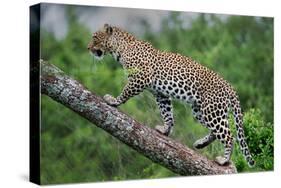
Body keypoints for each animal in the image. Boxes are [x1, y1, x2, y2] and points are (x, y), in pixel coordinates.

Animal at [87, 23, 254, 166]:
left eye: (95, 37)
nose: (88, 48)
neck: (121, 48)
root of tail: (230, 87)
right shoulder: (160, 93)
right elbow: (167, 113)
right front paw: (165, 130)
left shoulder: (141, 78)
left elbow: (125, 92)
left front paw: (113, 101)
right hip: (201, 111)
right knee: (216, 131)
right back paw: (201, 144)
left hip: (212, 111)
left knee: (229, 136)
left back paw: (224, 160)